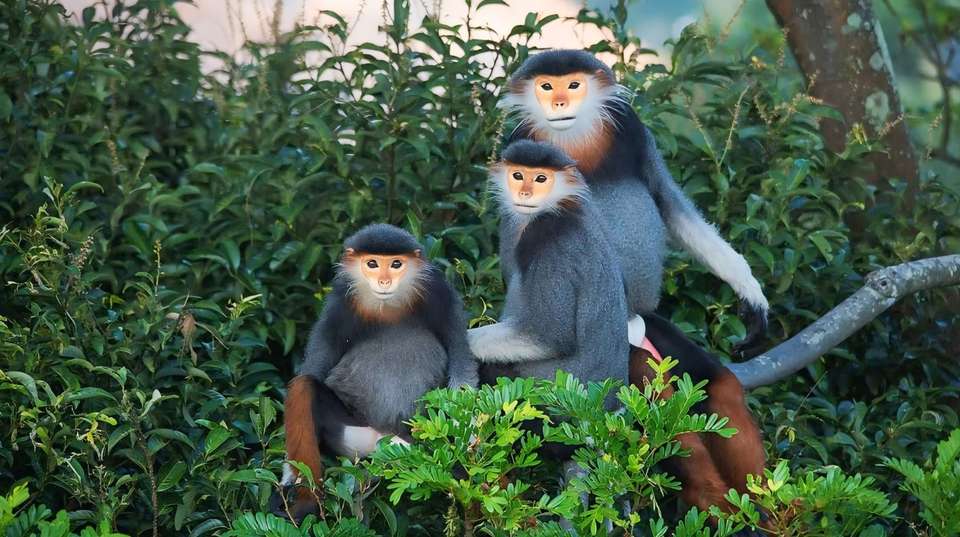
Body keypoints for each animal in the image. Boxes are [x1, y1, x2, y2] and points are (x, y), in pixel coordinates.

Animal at [271, 224, 478, 521]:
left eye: (396, 264)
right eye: (372, 264)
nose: (384, 282)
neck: (388, 307)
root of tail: (382, 436)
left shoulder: (440, 294)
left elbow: (461, 370)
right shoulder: (339, 305)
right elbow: (314, 370)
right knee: (304, 385)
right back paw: (305, 502)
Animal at [468, 139, 630, 408]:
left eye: (541, 178)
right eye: (518, 175)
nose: (525, 193)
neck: (558, 206)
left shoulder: (547, 237)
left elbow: (548, 337)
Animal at [499, 50, 766, 516]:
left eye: (573, 85)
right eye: (546, 86)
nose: (559, 103)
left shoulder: (631, 127)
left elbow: (671, 205)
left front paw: (749, 291)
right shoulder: (518, 143)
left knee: (717, 387)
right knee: (655, 401)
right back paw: (713, 500)